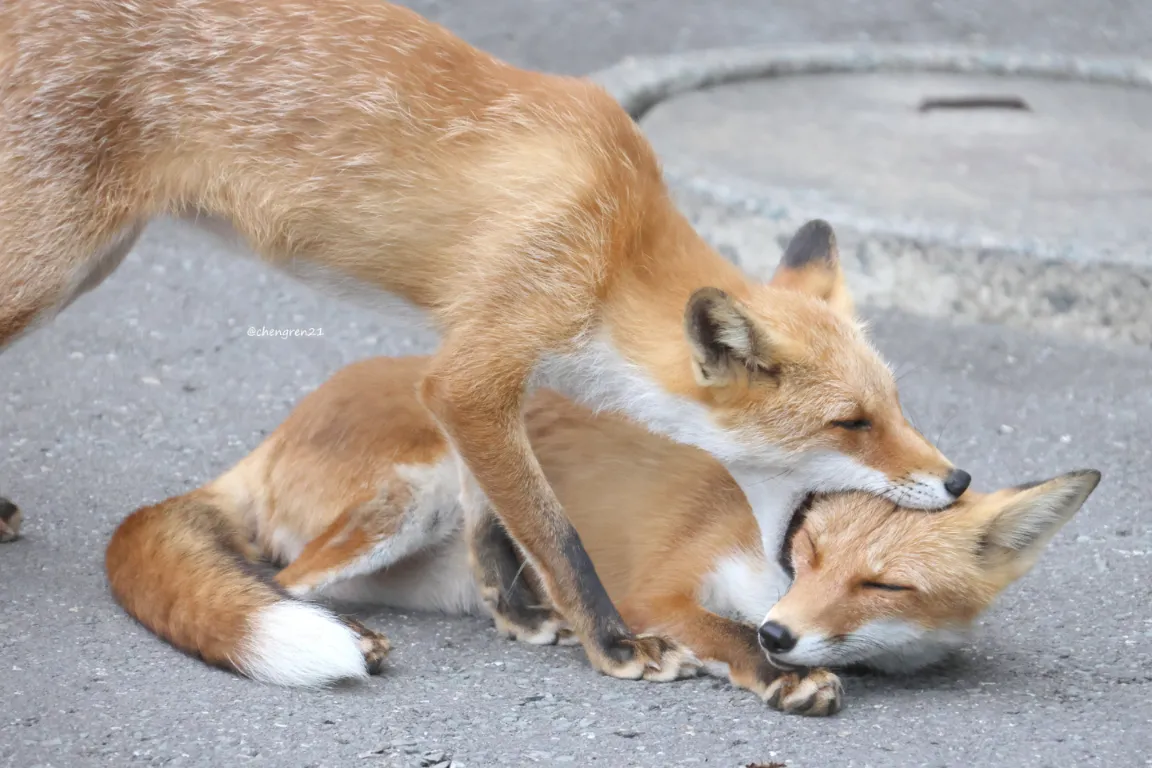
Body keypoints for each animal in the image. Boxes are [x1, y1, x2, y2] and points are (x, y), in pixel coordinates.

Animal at [2, 0, 968, 679]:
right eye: (850, 425)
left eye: (895, 405)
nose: (957, 480)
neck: (614, 243)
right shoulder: (479, 364)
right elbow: (554, 532)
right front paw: (614, 645)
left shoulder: (476, 365)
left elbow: (489, 516)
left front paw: (515, 613)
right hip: (52, 268)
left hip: (88, 265)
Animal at [106, 350, 1100, 714]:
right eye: (811, 556)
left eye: (883, 584)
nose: (786, 633)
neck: (772, 534)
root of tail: (290, 419)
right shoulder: (661, 584)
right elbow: (720, 628)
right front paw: (768, 670)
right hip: (420, 487)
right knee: (278, 579)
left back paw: (524, 612)